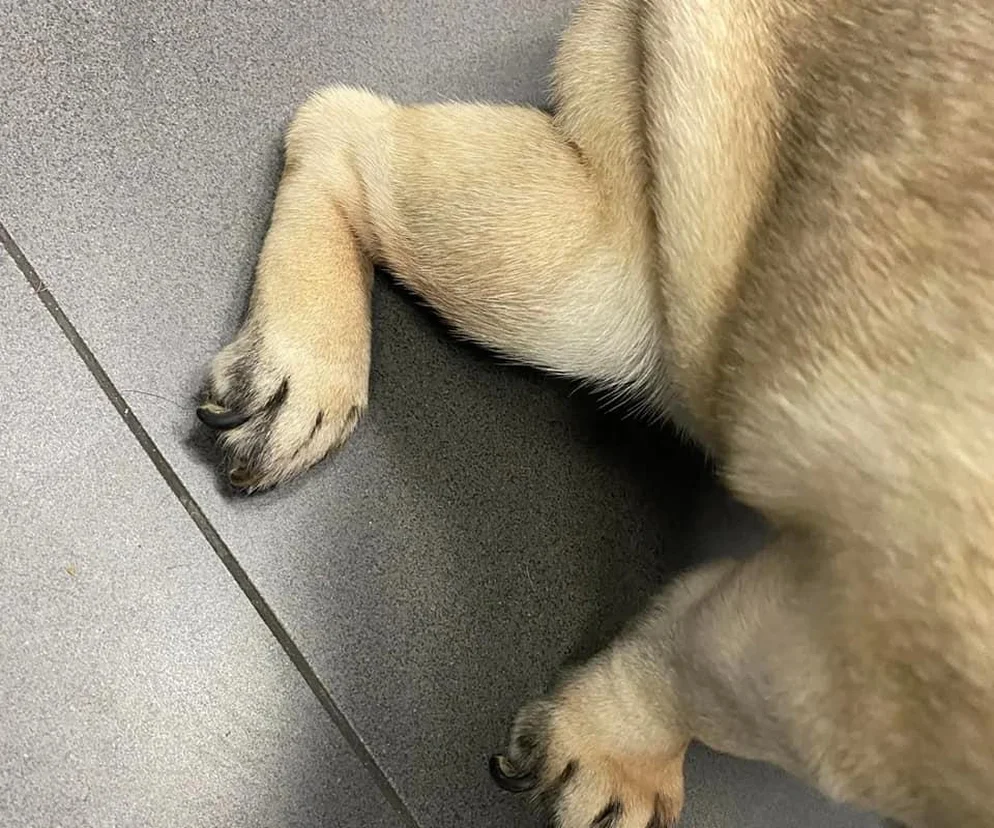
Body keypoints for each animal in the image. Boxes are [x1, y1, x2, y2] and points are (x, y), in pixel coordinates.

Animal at [196, 1, 994, 825]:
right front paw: (619, 749)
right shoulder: (850, 674)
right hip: (598, 282)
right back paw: (308, 362)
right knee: (344, 130)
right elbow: (703, 678)